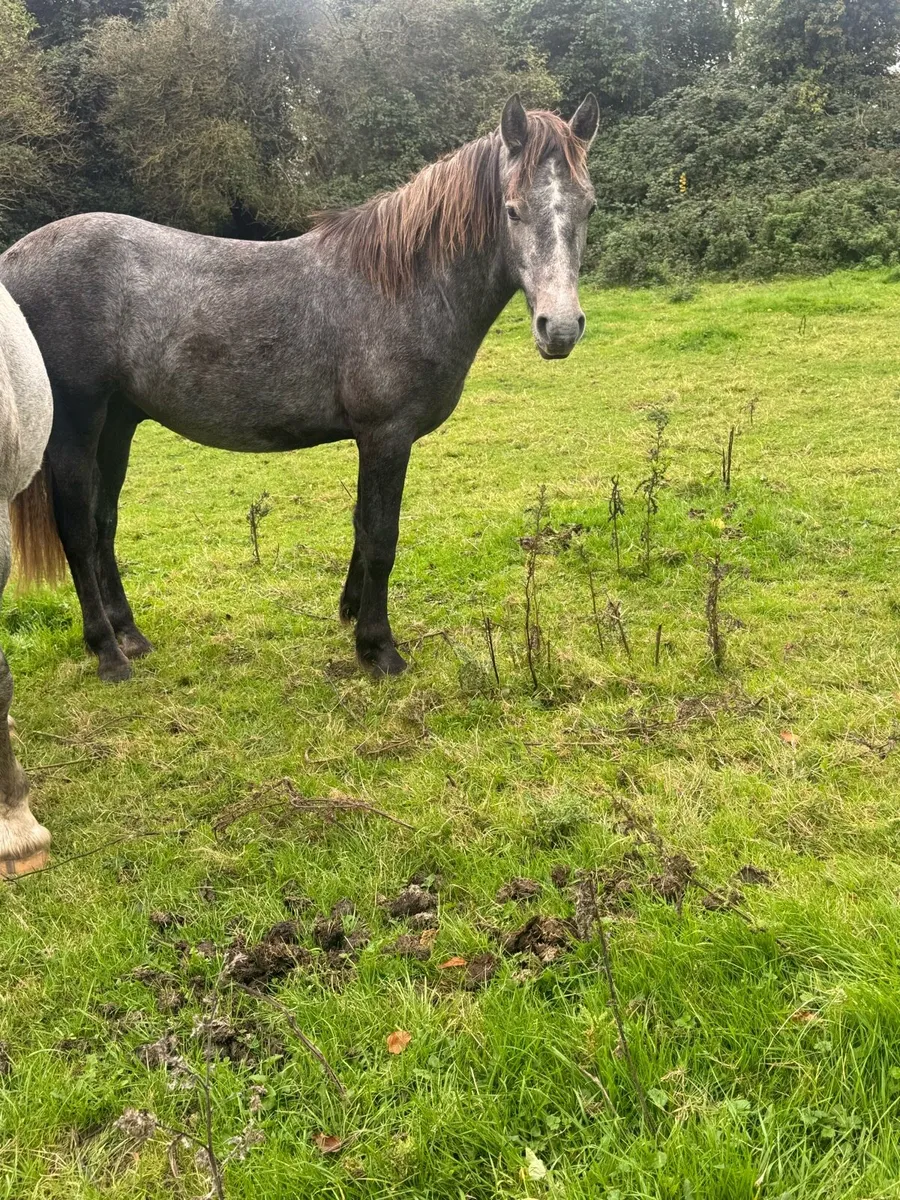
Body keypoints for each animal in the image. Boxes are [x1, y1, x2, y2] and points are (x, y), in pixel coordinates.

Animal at [0, 94, 599, 684]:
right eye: (512, 209)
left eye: (588, 206)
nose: (559, 329)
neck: (404, 286)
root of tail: (15, 258)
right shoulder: (386, 435)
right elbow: (381, 537)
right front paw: (378, 649)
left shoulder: (372, 440)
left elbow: (361, 525)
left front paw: (352, 613)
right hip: (76, 427)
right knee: (77, 531)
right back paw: (108, 653)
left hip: (117, 423)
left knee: (104, 523)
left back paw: (130, 634)